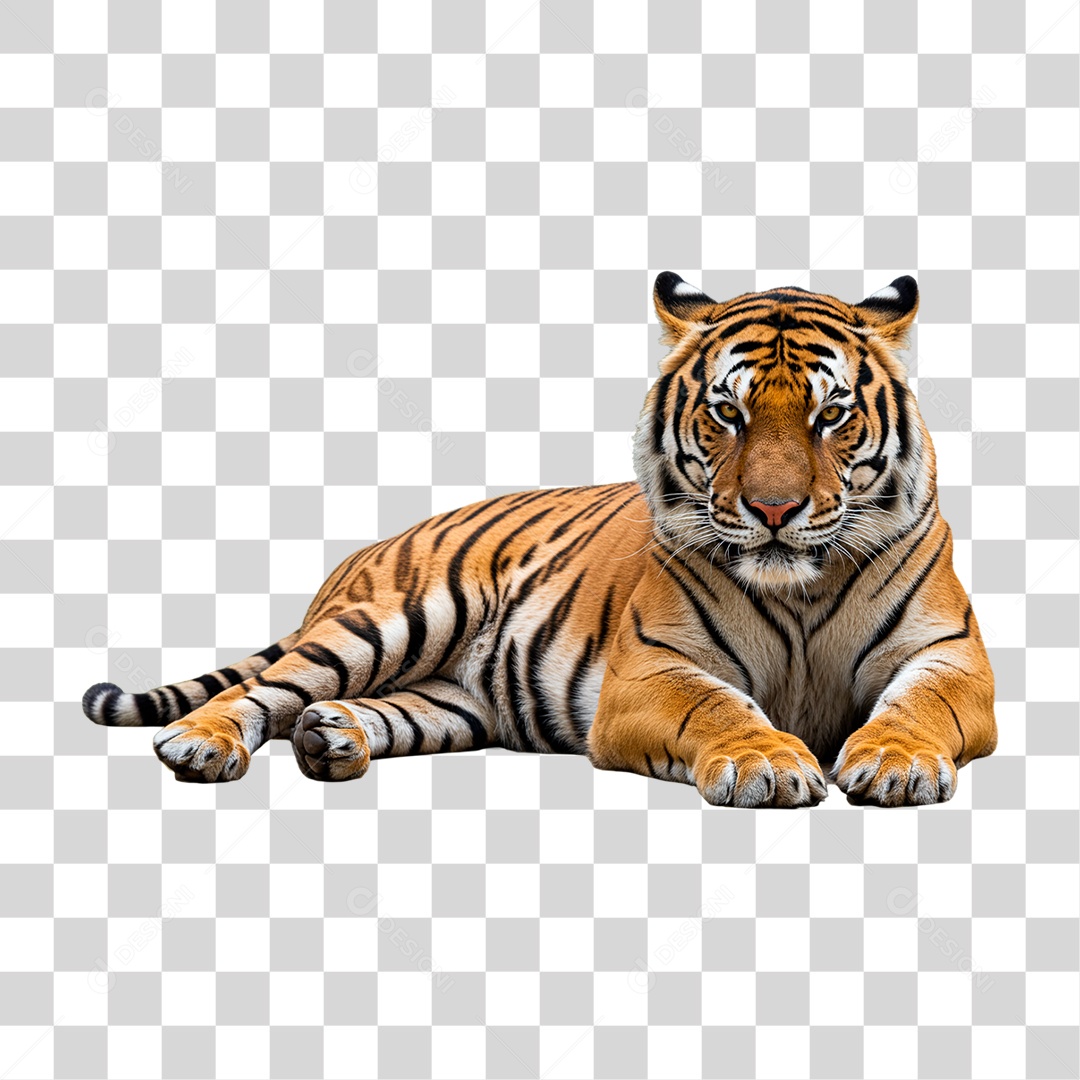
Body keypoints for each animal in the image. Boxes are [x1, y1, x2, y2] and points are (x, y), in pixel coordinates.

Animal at [83, 272, 997, 807]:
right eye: (727, 412)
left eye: (830, 414)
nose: (774, 510)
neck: (798, 583)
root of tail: (360, 553)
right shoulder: (651, 669)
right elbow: (718, 704)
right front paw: (765, 762)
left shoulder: (951, 656)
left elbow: (922, 704)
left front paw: (894, 762)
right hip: (393, 619)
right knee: (263, 686)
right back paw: (200, 744)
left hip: (455, 698)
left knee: (368, 707)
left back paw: (330, 737)